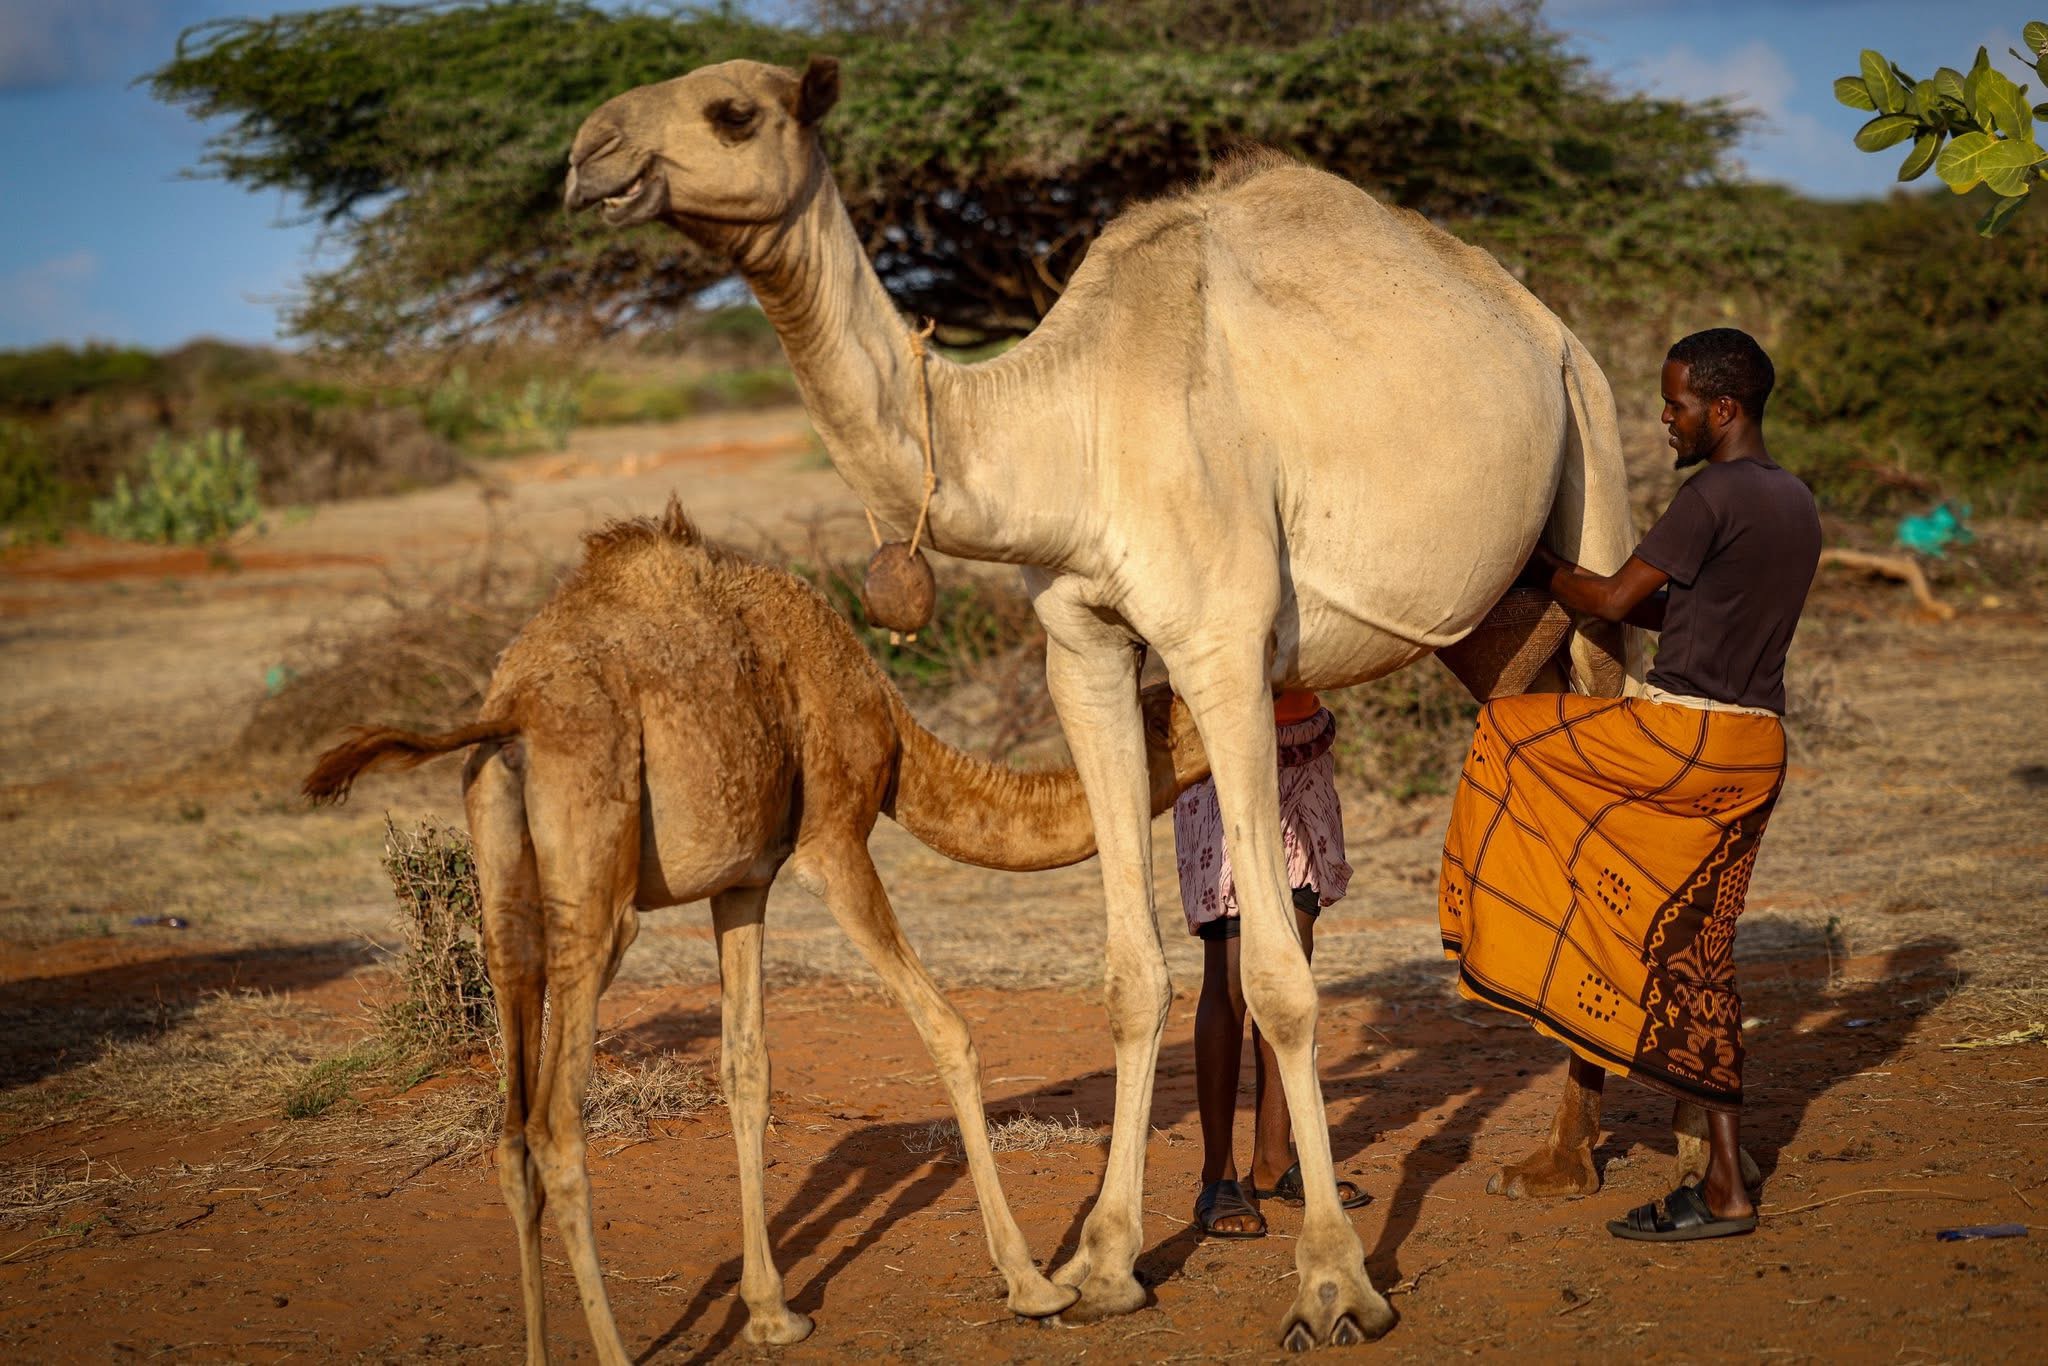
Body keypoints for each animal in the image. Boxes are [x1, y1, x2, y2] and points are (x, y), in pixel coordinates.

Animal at [302, 499, 1207, 1364]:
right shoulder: (832, 840)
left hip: (503, 897)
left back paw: (536, 1351)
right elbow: (947, 1030)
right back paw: (615, 1352)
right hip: (599, 899)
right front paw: (1033, 1283)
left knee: (512, 1129)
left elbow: (746, 1069)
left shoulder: (740, 881)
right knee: (557, 1123)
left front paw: (773, 1315)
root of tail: (510, 714)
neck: (890, 729)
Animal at [566, 58, 1647, 1348]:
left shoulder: (1221, 643)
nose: (587, 155)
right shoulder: (1077, 644)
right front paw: (1102, 1263)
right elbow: (1132, 976)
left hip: (1594, 465)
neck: (1067, 426)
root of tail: (1542, 321)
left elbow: (1280, 981)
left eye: (733, 113)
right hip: (1495, 607)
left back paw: (1606, 1158)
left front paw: (1332, 1282)